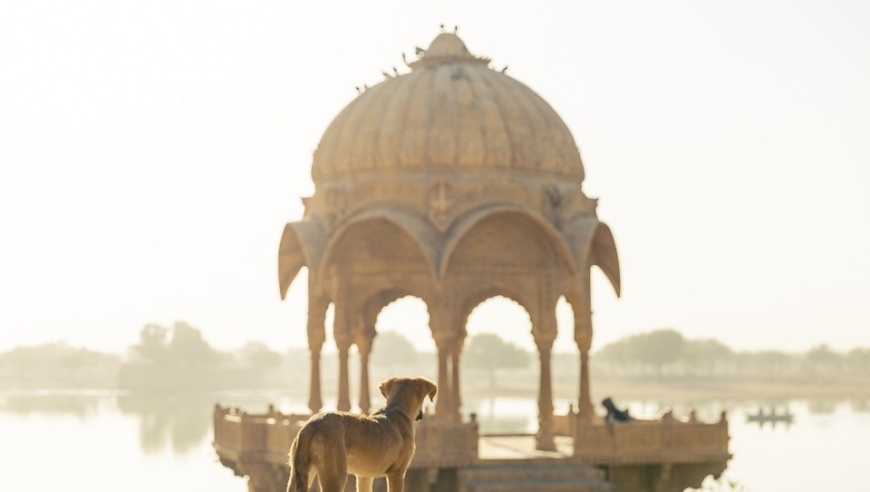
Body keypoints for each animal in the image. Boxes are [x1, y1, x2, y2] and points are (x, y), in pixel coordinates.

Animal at [288, 376, 436, 492]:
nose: (421, 414)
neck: (397, 410)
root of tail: (313, 424)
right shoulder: (397, 473)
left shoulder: (364, 476)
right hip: (335, 476)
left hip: (298, 475)